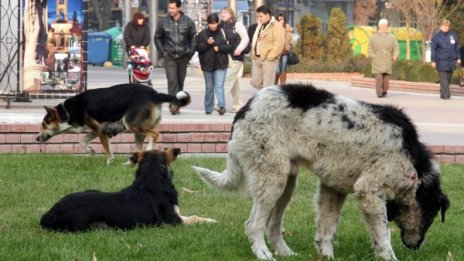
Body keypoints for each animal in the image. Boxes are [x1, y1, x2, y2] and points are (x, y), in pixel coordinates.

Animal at [35, 83, 189, 164]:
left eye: (43, 124)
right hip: (137, 131)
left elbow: (107, 149)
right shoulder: (96, 130)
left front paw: (109, 162)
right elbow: (82, 141)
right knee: (140, 147)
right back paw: (131, 161)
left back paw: (149, 148)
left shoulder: (100, 130)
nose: (36, 138)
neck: (67, 112)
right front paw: (90, 151)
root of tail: (155, 94)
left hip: (132, 125)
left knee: (155, 134)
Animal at [40, 147, 215, 231]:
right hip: (99, 226)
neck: (151, 176)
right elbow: (194, 217)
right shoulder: (173, 221)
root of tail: (50, 213)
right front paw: (211, 220)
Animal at [192, 84, 450, 258]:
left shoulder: (333, 188)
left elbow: (326, 228)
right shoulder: (368, 191)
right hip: (271, 179)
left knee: (272, 226)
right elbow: (383, 235)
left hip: (286, 184)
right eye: (430, 216)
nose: (417, 247)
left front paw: (325, 256)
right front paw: (388, 255)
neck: (413, 158)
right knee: (253, 224)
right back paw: (263, 254)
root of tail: (243, 110)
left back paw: (286, 252)